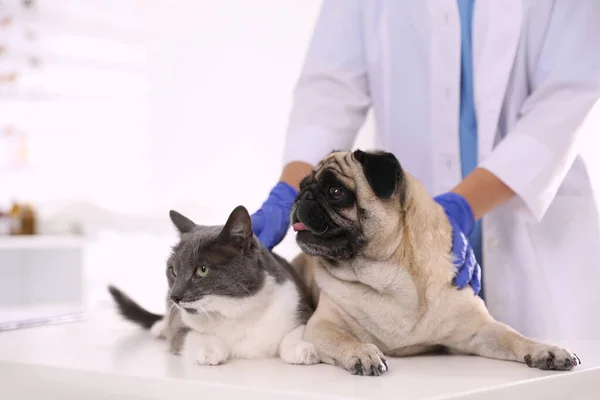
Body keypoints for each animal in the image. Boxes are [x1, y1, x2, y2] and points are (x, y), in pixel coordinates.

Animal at [110, 206, 322, 366]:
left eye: (202, 270)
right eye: (174, 271)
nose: (175, 296)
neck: (235, 314)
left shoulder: (295, 301)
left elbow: (300, 328)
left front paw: (302, 348)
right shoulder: (180, 325)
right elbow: (189, 334)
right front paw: (210, 350)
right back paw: (160, 327)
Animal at [290, 149, 580, 376]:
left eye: (335, 192)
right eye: (302, 185)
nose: (301, 196)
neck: (388, 278)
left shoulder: (480, 330)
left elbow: (514, 336)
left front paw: (546, 350)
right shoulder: (323, 326)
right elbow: (343, 339)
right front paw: (362, 352)